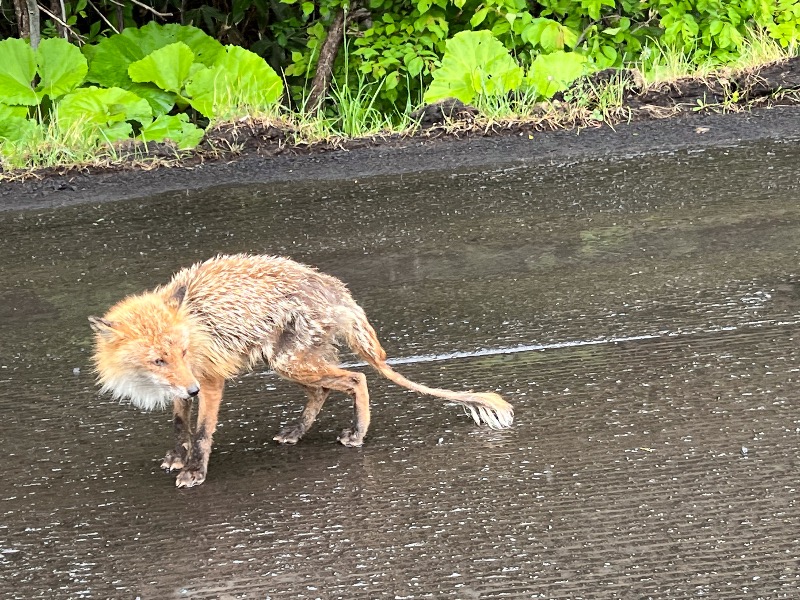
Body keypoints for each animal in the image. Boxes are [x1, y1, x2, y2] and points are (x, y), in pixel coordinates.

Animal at [90, 253, 516, 488]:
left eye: (180, 351)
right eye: (158, 360)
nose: (192, 391)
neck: (194, 323)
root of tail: (338, 290)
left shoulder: (208, 380)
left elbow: (202, 433)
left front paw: (195, 470)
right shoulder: (184, 385)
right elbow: (180, 424)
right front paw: (177, 457)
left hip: (288, 362)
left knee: (357, 378)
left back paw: (357, 433)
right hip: (289, 363)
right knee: (323, 391)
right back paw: (297, 431)